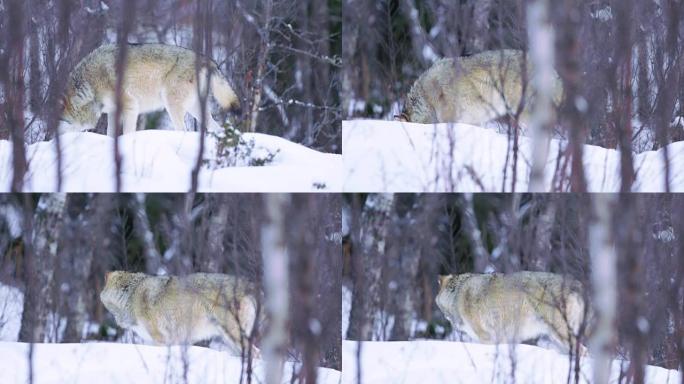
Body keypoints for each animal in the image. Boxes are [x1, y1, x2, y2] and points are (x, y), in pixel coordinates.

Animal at [63, 44, 240, 136]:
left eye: (64, 121)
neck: (91, 82)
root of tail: (207, 60)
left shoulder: (130, 106)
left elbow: (127, 133)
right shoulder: (113, 111)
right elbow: (110, 133)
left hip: (171, 103)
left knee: (183, 130)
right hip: (194, 108)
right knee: (215, 127)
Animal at [436, 272, 592, 356]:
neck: (457, 295)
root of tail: (577, 284)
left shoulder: (486, 338)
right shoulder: (504, 339)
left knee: (583, 351)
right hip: (556, 337)